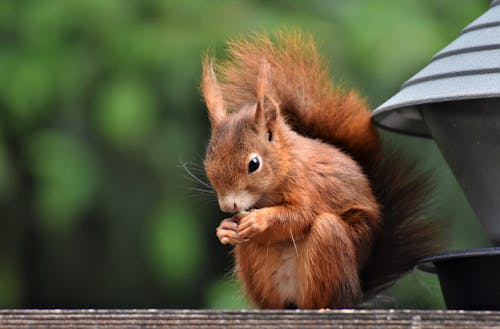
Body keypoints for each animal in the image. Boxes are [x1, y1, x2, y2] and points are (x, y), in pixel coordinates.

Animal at [201, 30, 440, 308]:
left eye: (254, 164)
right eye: (208, 162)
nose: (228, 206)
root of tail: (356, 292)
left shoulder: (309, 185)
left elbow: (300, 215)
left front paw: (260, 219)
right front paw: (224, 228)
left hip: (330, 246)